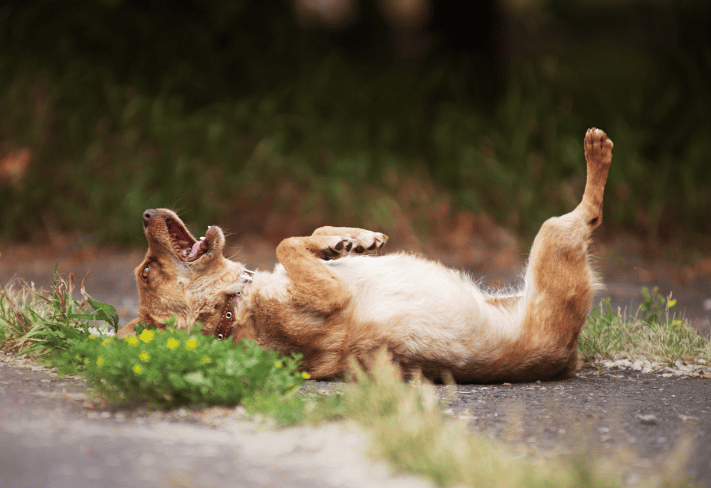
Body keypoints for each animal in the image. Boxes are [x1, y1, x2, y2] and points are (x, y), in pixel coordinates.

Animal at [119, 127, 616, 384]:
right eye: (146, 272)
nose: (143, 213)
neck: (232, 306)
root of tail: (567, 356)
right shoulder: (330, 294)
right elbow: (286, 244)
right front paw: (338, 242)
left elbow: (305, 239)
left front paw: (349, 238)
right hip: (553, 238)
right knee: (589, 212)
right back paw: (597, 151)